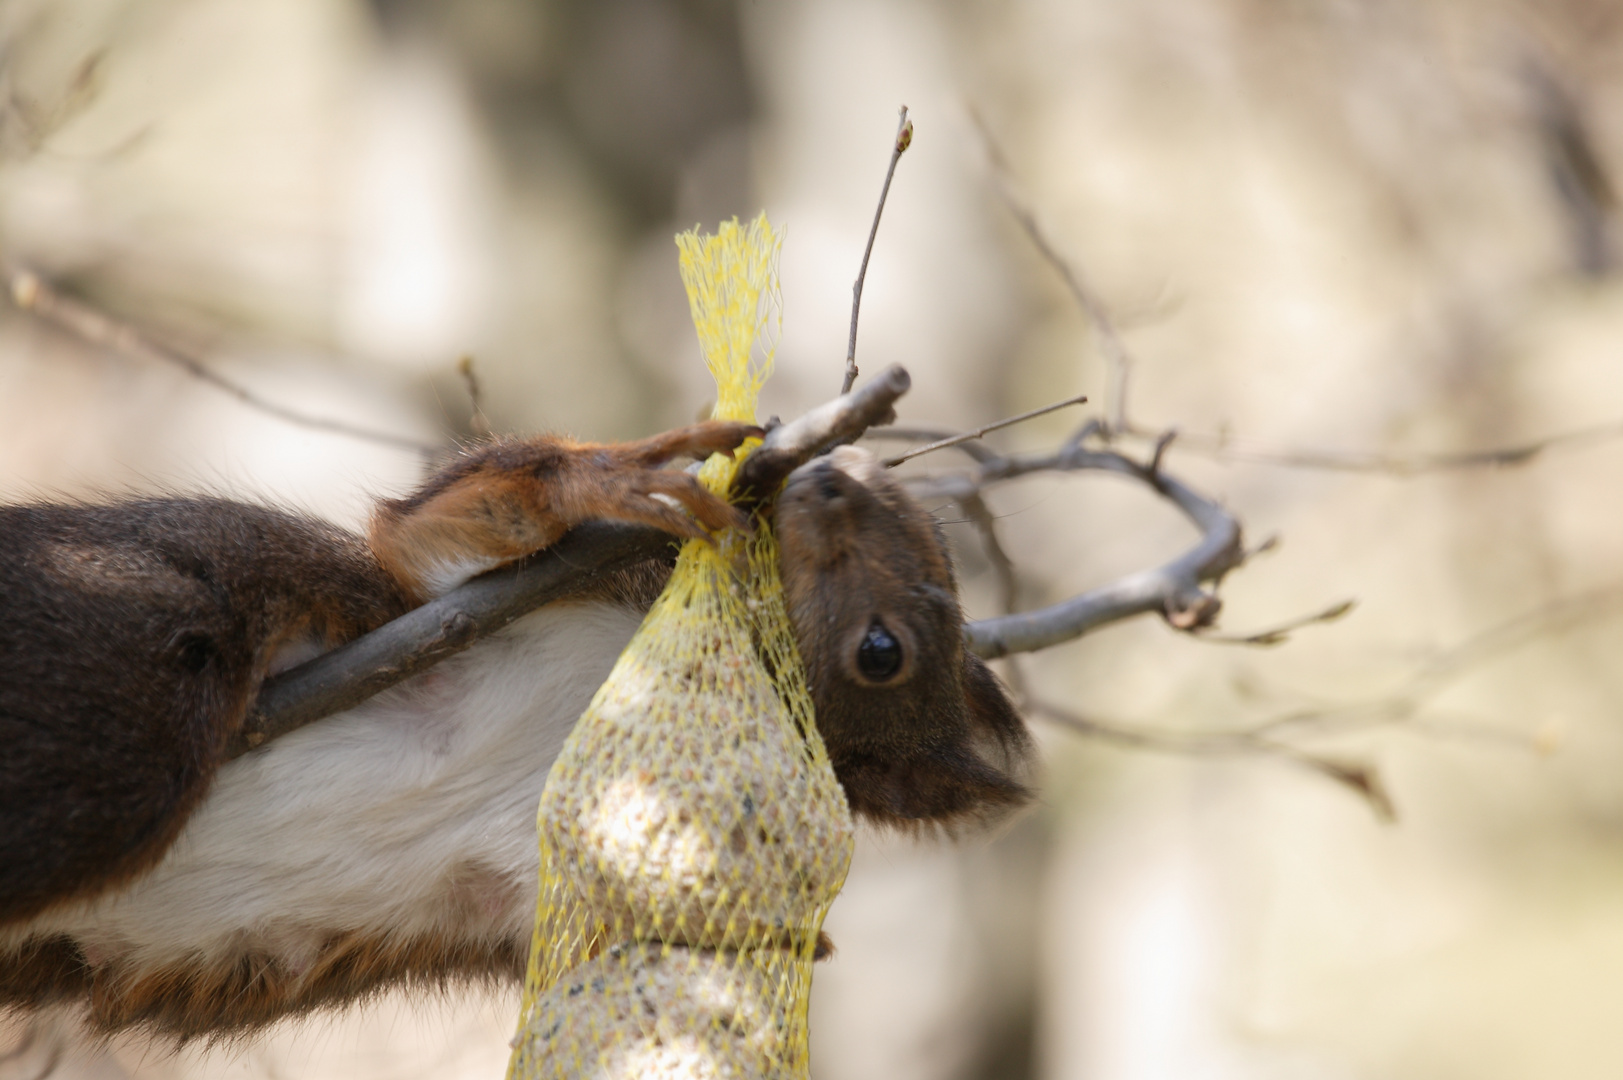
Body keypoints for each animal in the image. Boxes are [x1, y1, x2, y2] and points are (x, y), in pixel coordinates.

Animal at [0, 419, 1025, 1039]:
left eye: (883, 652)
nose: (834, 475)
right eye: (930, 527)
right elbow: (445, 529)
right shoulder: (519, 595)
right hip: (118, 707)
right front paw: (620, 477)